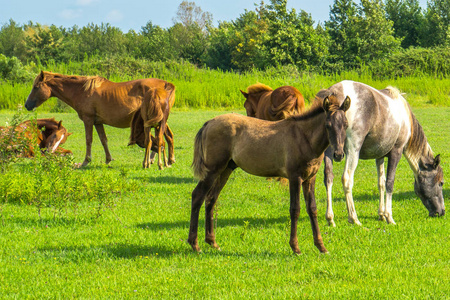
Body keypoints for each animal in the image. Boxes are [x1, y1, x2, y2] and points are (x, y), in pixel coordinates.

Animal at [24, 71, 176, 168]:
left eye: (36, 87)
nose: (27, 105)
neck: (81, 90)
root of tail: (167, 85)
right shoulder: (98, 123)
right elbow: (104, 140)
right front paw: (108, 160)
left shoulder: (88, 120)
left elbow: (89, 140)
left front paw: (86, 161)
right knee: (167, 137)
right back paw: (168, 160)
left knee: (161, 138)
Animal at [186, 95, 352, 254]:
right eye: (327, 125)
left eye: (346, 125)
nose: (338, 155)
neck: (304, 138)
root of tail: (209, 123)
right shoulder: (295, 177)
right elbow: (295, 209)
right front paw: (295, 247)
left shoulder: (310, 179)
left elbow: (312, 209)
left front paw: (321, 247)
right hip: (212, 170)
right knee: (198, 196)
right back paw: (195, 244)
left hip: (225, 169)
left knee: (211, 198)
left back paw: (212, 242)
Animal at [322, 79, 444, 225]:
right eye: (441, 183)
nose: (441, 212)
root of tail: (336, 91)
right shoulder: (396, 152)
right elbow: (389, 183)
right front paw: (389, 216)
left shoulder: (379, 156)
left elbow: (381, 183)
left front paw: (381, 215)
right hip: (352, 151)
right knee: (347, 178)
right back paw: (354, 218)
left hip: (331, 151)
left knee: (329, 178)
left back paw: (330, 218)